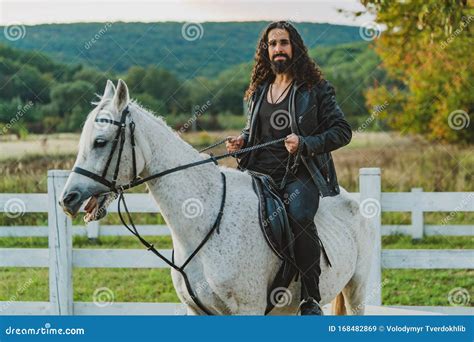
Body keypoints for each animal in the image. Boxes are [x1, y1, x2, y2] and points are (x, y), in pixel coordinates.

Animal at [61, 79, 376, 316]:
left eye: (100, 142)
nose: (68, 198)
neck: (205, 218)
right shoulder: (198, 312)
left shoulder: (248, 309)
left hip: (357, 291)